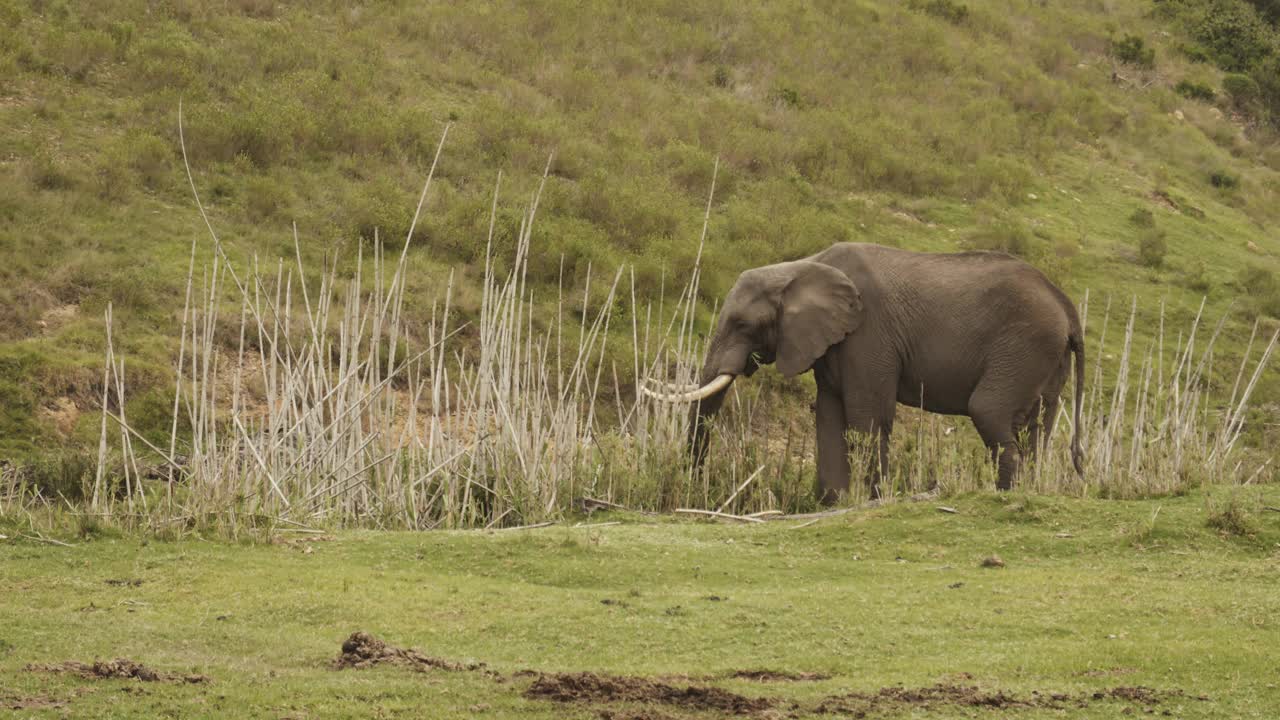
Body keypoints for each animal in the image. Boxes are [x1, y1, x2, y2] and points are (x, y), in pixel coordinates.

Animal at [650, 240, 1080, 499]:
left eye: (742, 324)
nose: (694, 483)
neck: (803, 267)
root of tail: (1065, 301)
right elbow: (827, 415)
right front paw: (830, 503)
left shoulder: (868, 334)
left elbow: (866, 416)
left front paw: (871, 500)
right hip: (1046, 355)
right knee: (1037, 426)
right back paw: (1034, 491)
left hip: (1026, 342)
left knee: (989, 409)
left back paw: (1008, 495)